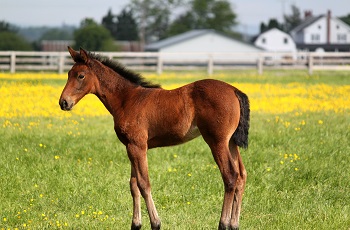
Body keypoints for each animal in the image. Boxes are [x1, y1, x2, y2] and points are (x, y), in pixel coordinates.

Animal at [58, 47, 249, 230]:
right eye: (68, 74)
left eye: (81, 76)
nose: (63, 102)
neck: (127, 99)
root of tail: (234, 90)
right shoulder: (131, 147)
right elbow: (133, 185)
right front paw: (135, 224)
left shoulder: (137, 146)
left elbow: (144, 184)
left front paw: (156, 223)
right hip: (231, 142)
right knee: (241, 176)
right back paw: (234, 224)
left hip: (217, 141)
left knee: (230, 176)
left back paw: (223, 224)